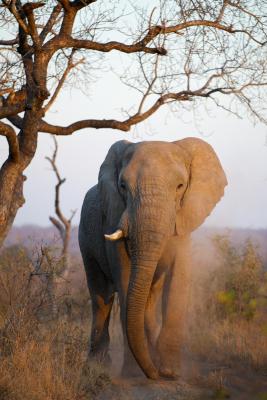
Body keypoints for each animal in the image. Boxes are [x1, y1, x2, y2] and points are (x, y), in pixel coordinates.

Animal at [78, 139, 227, 380]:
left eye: (180, 186)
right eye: (123, 186)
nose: (153, 375)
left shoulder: (183, 219)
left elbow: (178, 279)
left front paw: (169, 372)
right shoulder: (114, 218)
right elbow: (125, 281)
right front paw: (133, 374)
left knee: (148, 299)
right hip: (85, 238)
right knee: (101, 297)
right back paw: (97, 367)